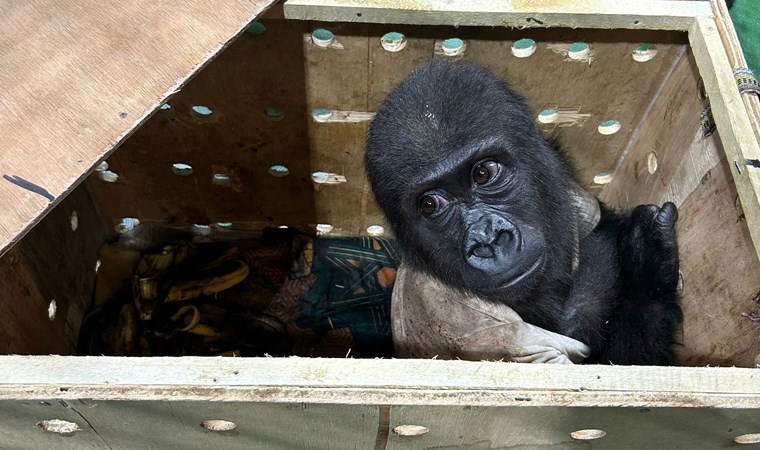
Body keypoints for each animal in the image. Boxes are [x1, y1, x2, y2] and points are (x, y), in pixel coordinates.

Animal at [364, 59, 684, 364]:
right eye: (430, 205)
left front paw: (645, 256)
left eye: (483, 173)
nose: (488, 239)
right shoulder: (481, 328)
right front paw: (648, 269)